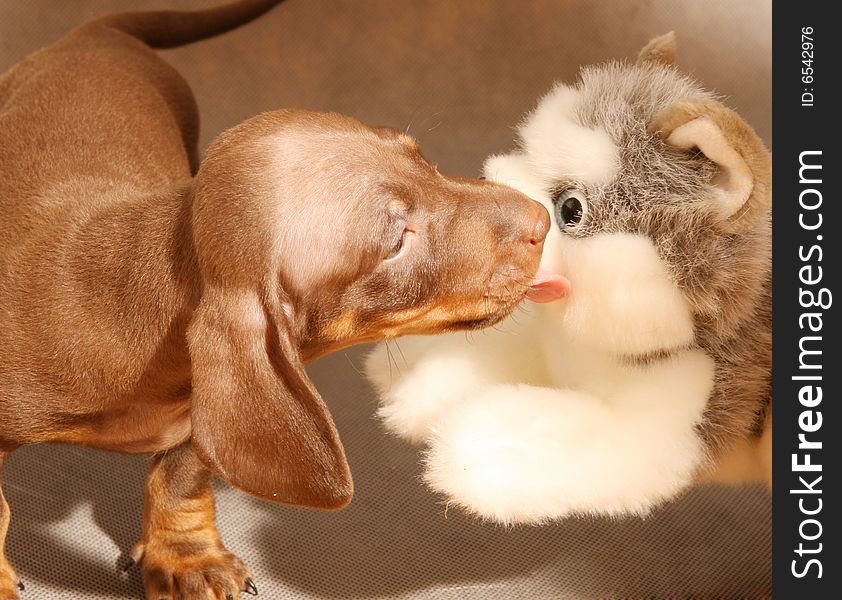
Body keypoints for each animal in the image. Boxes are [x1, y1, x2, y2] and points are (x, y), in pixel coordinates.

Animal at [0, 2, 548, 596]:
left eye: (422, 159)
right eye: (396, 241)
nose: (546, 218)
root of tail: (95, 33)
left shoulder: (202, 408)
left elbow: (180, 475)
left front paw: (185, 557)